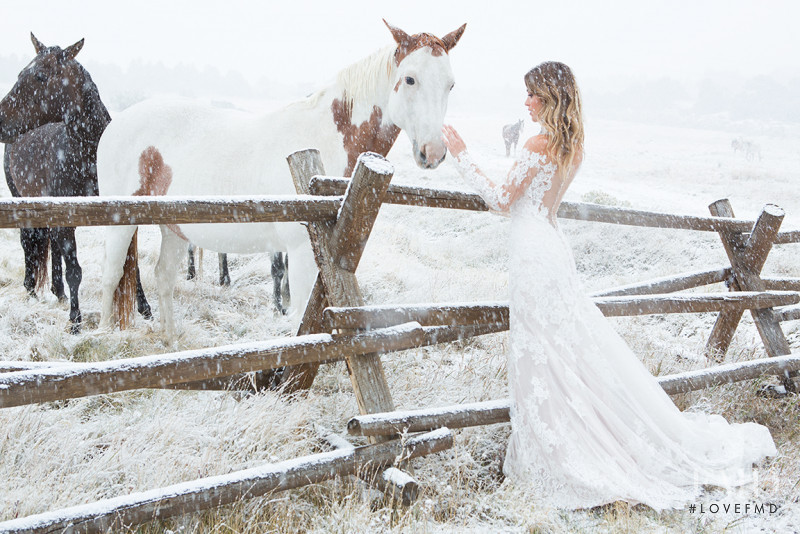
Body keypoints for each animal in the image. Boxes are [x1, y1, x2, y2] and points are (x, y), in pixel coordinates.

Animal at [0, 33, 151, 332]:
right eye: (21, 73)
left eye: (40, 76)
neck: (89, 158)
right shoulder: (67, 219)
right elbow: (75, 271)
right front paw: (75, 321)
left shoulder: (122, 215)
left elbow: (132, 263)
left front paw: (146, 309)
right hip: (21, 200)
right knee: (28, 240)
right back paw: (31, 289)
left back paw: (57, 291)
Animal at [97, 22, 466, 344]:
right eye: (410, 79)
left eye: (450, 84)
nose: (433, 152)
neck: (324, 141)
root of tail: (116, 124)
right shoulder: (299, 251)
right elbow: (301, 312)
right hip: (120, 222)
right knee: (112, 274)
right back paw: (103, 338)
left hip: (174, 228)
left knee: (163, 277)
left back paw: (172, 340)